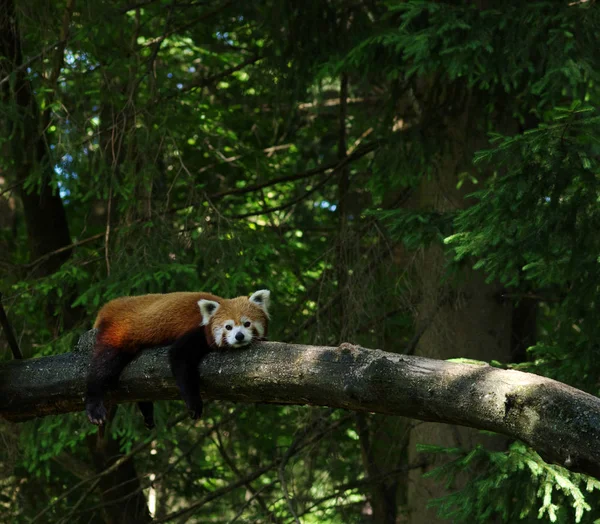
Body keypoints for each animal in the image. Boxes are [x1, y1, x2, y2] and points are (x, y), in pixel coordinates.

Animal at [84, 288, 270, 428]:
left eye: (247, 324)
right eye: (228, 327)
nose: (239, 336)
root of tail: (110, 306)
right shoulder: (197, 332)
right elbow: (179, 358)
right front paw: (194, 404)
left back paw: (147, 410)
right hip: (118, 334)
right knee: (103, 367)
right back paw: (94, 405)